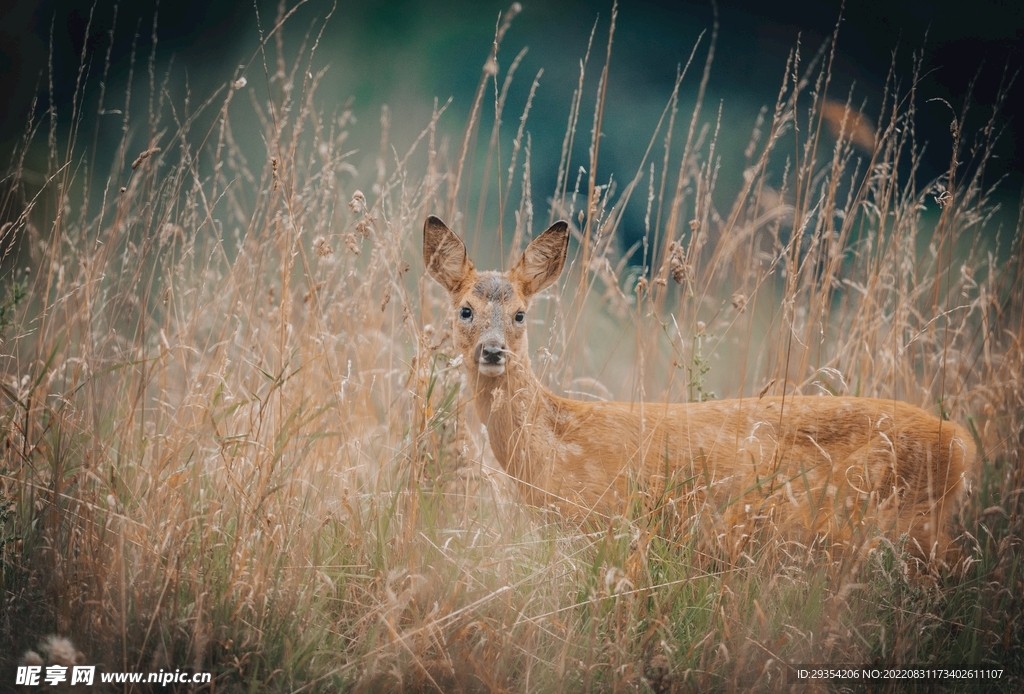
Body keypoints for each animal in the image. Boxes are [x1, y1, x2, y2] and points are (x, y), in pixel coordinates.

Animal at [421, 214, 974, 569]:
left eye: (520, 314)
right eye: (465, 310)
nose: (493, 351)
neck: (559, 442)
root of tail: (962, 442)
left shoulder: (618, 527)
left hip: (905, 523)